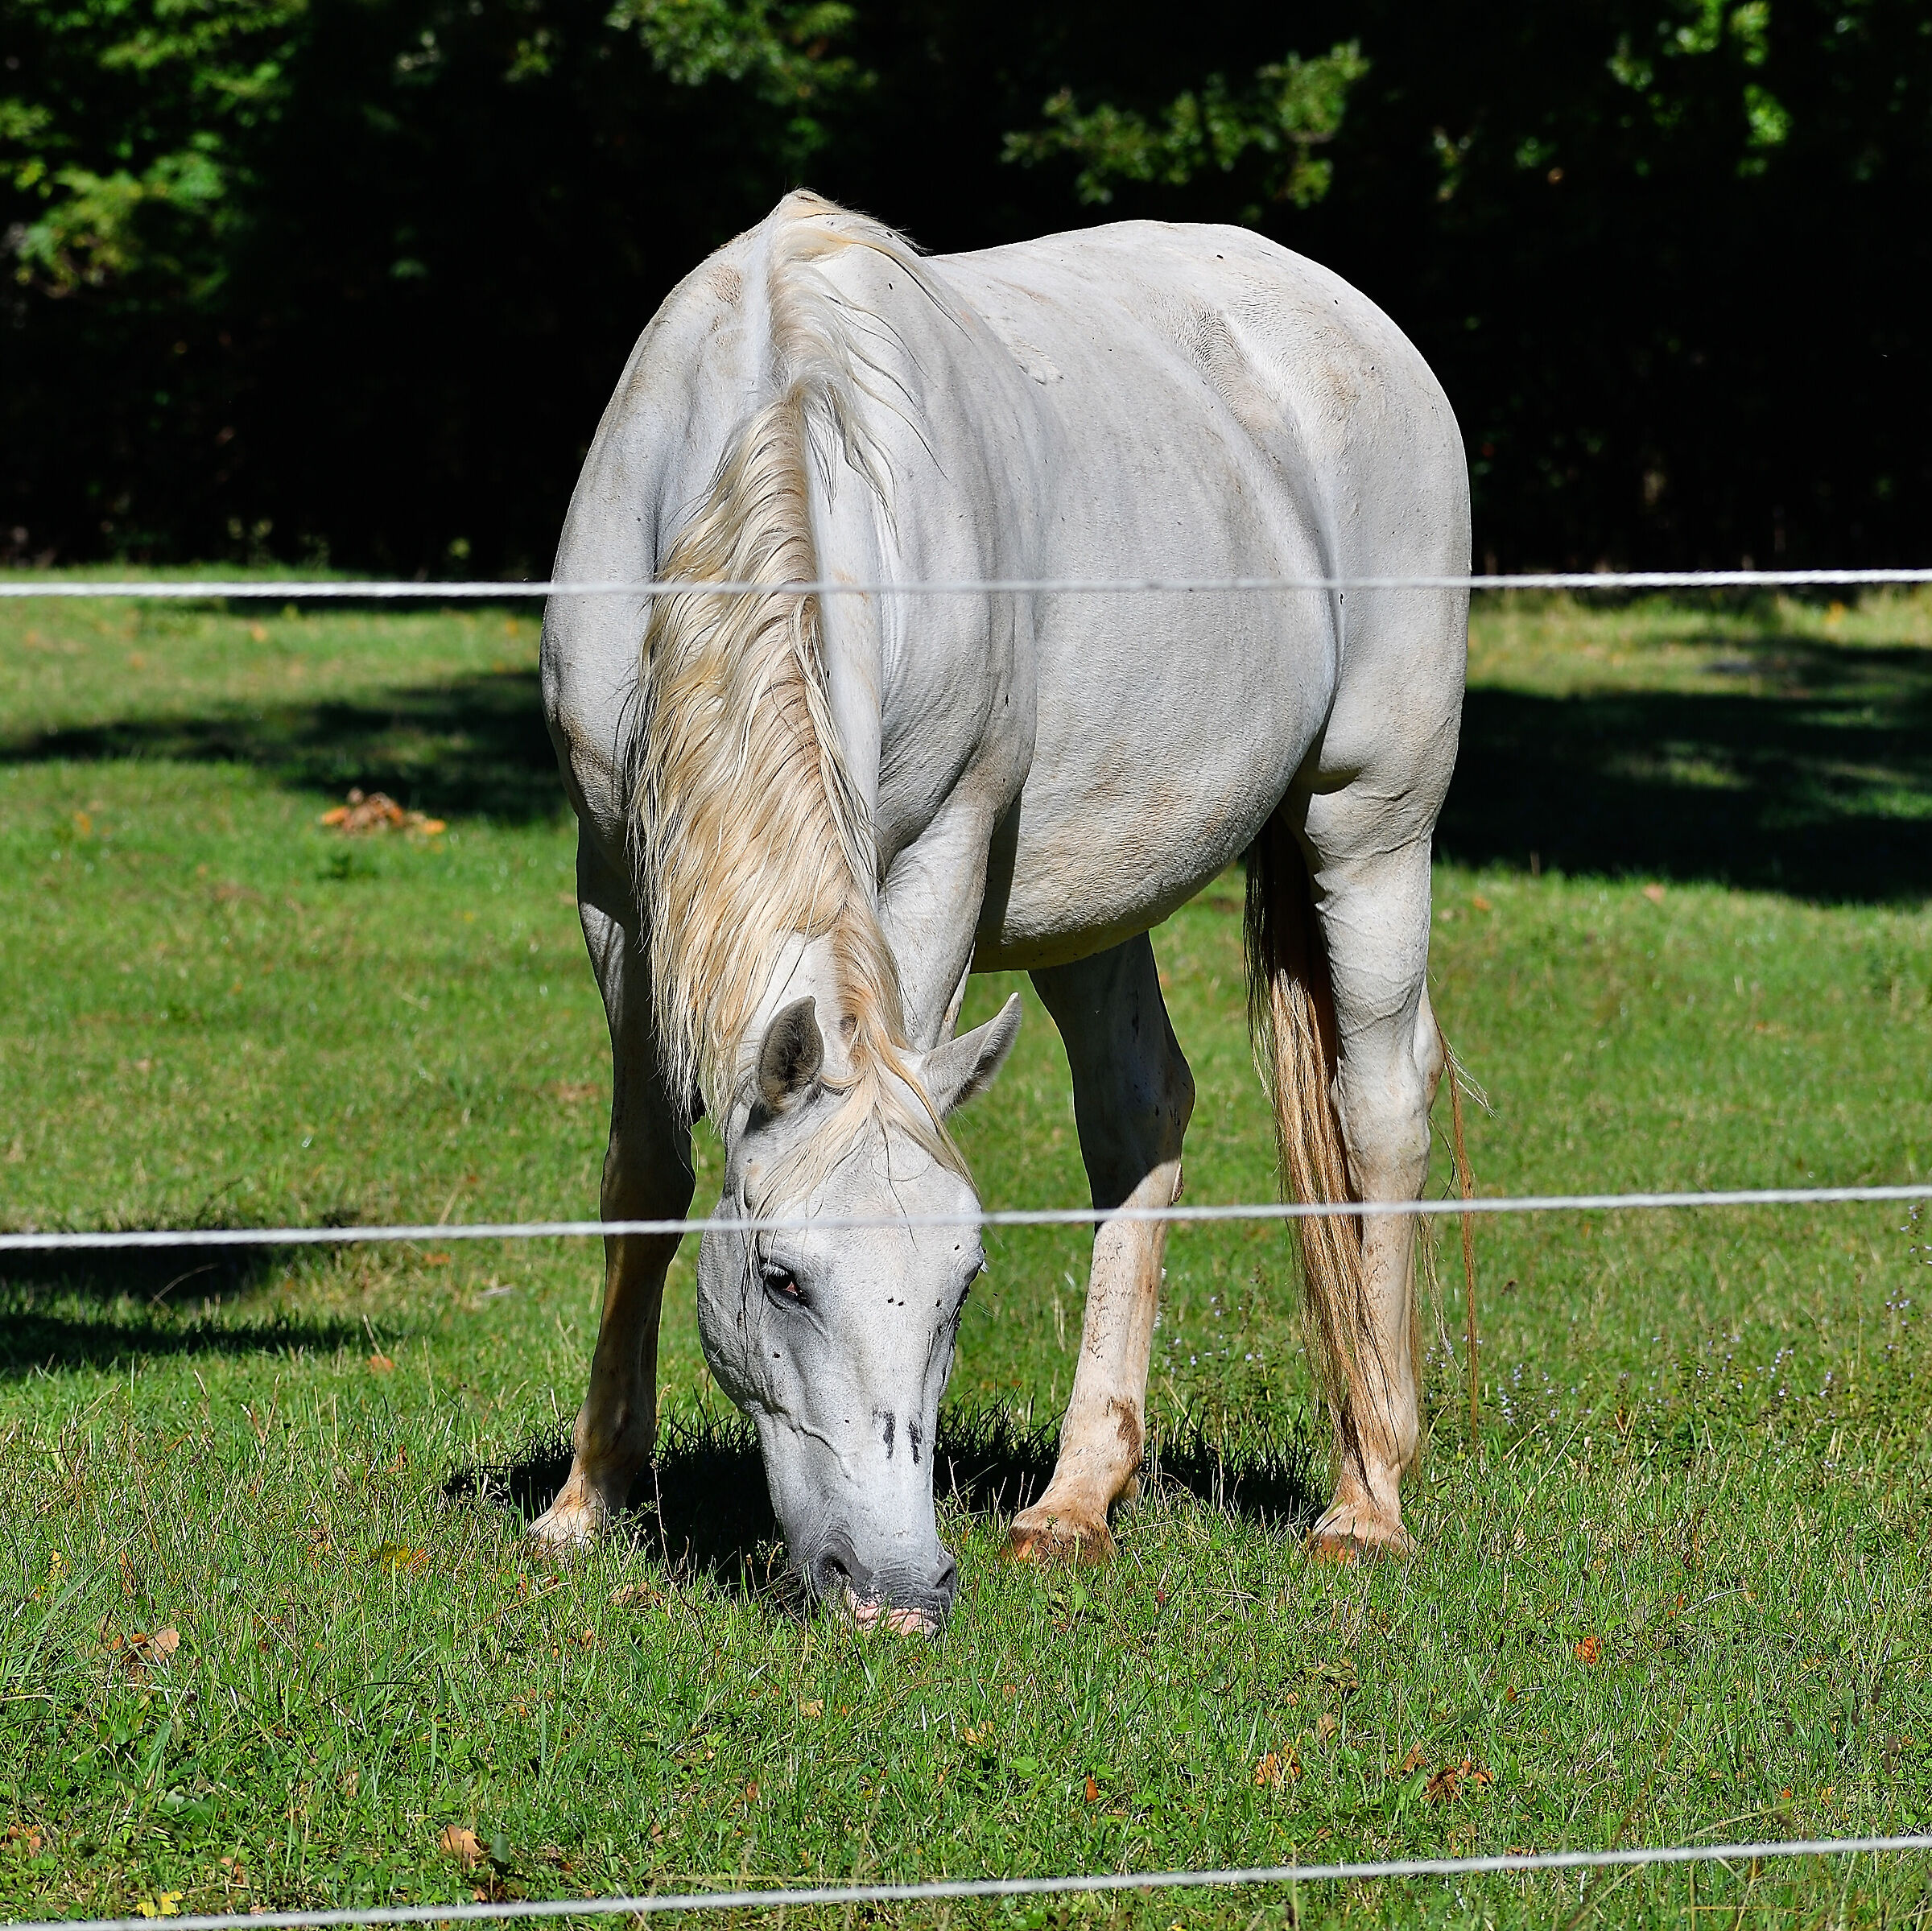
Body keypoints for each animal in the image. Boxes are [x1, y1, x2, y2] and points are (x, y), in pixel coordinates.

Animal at [535, 190, 1468, 1631]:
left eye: (964, 1280)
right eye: (781, 1276)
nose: (895, 1587)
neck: (770, 412)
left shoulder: (941, 855)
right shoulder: (615, 879)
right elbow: (647, 1170)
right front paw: (589, 1497)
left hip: (1374, 825)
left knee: (1380, 1107)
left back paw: (1368, 1494)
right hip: (1099, 895)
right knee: (1142, 1112)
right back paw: (1080, 1495)